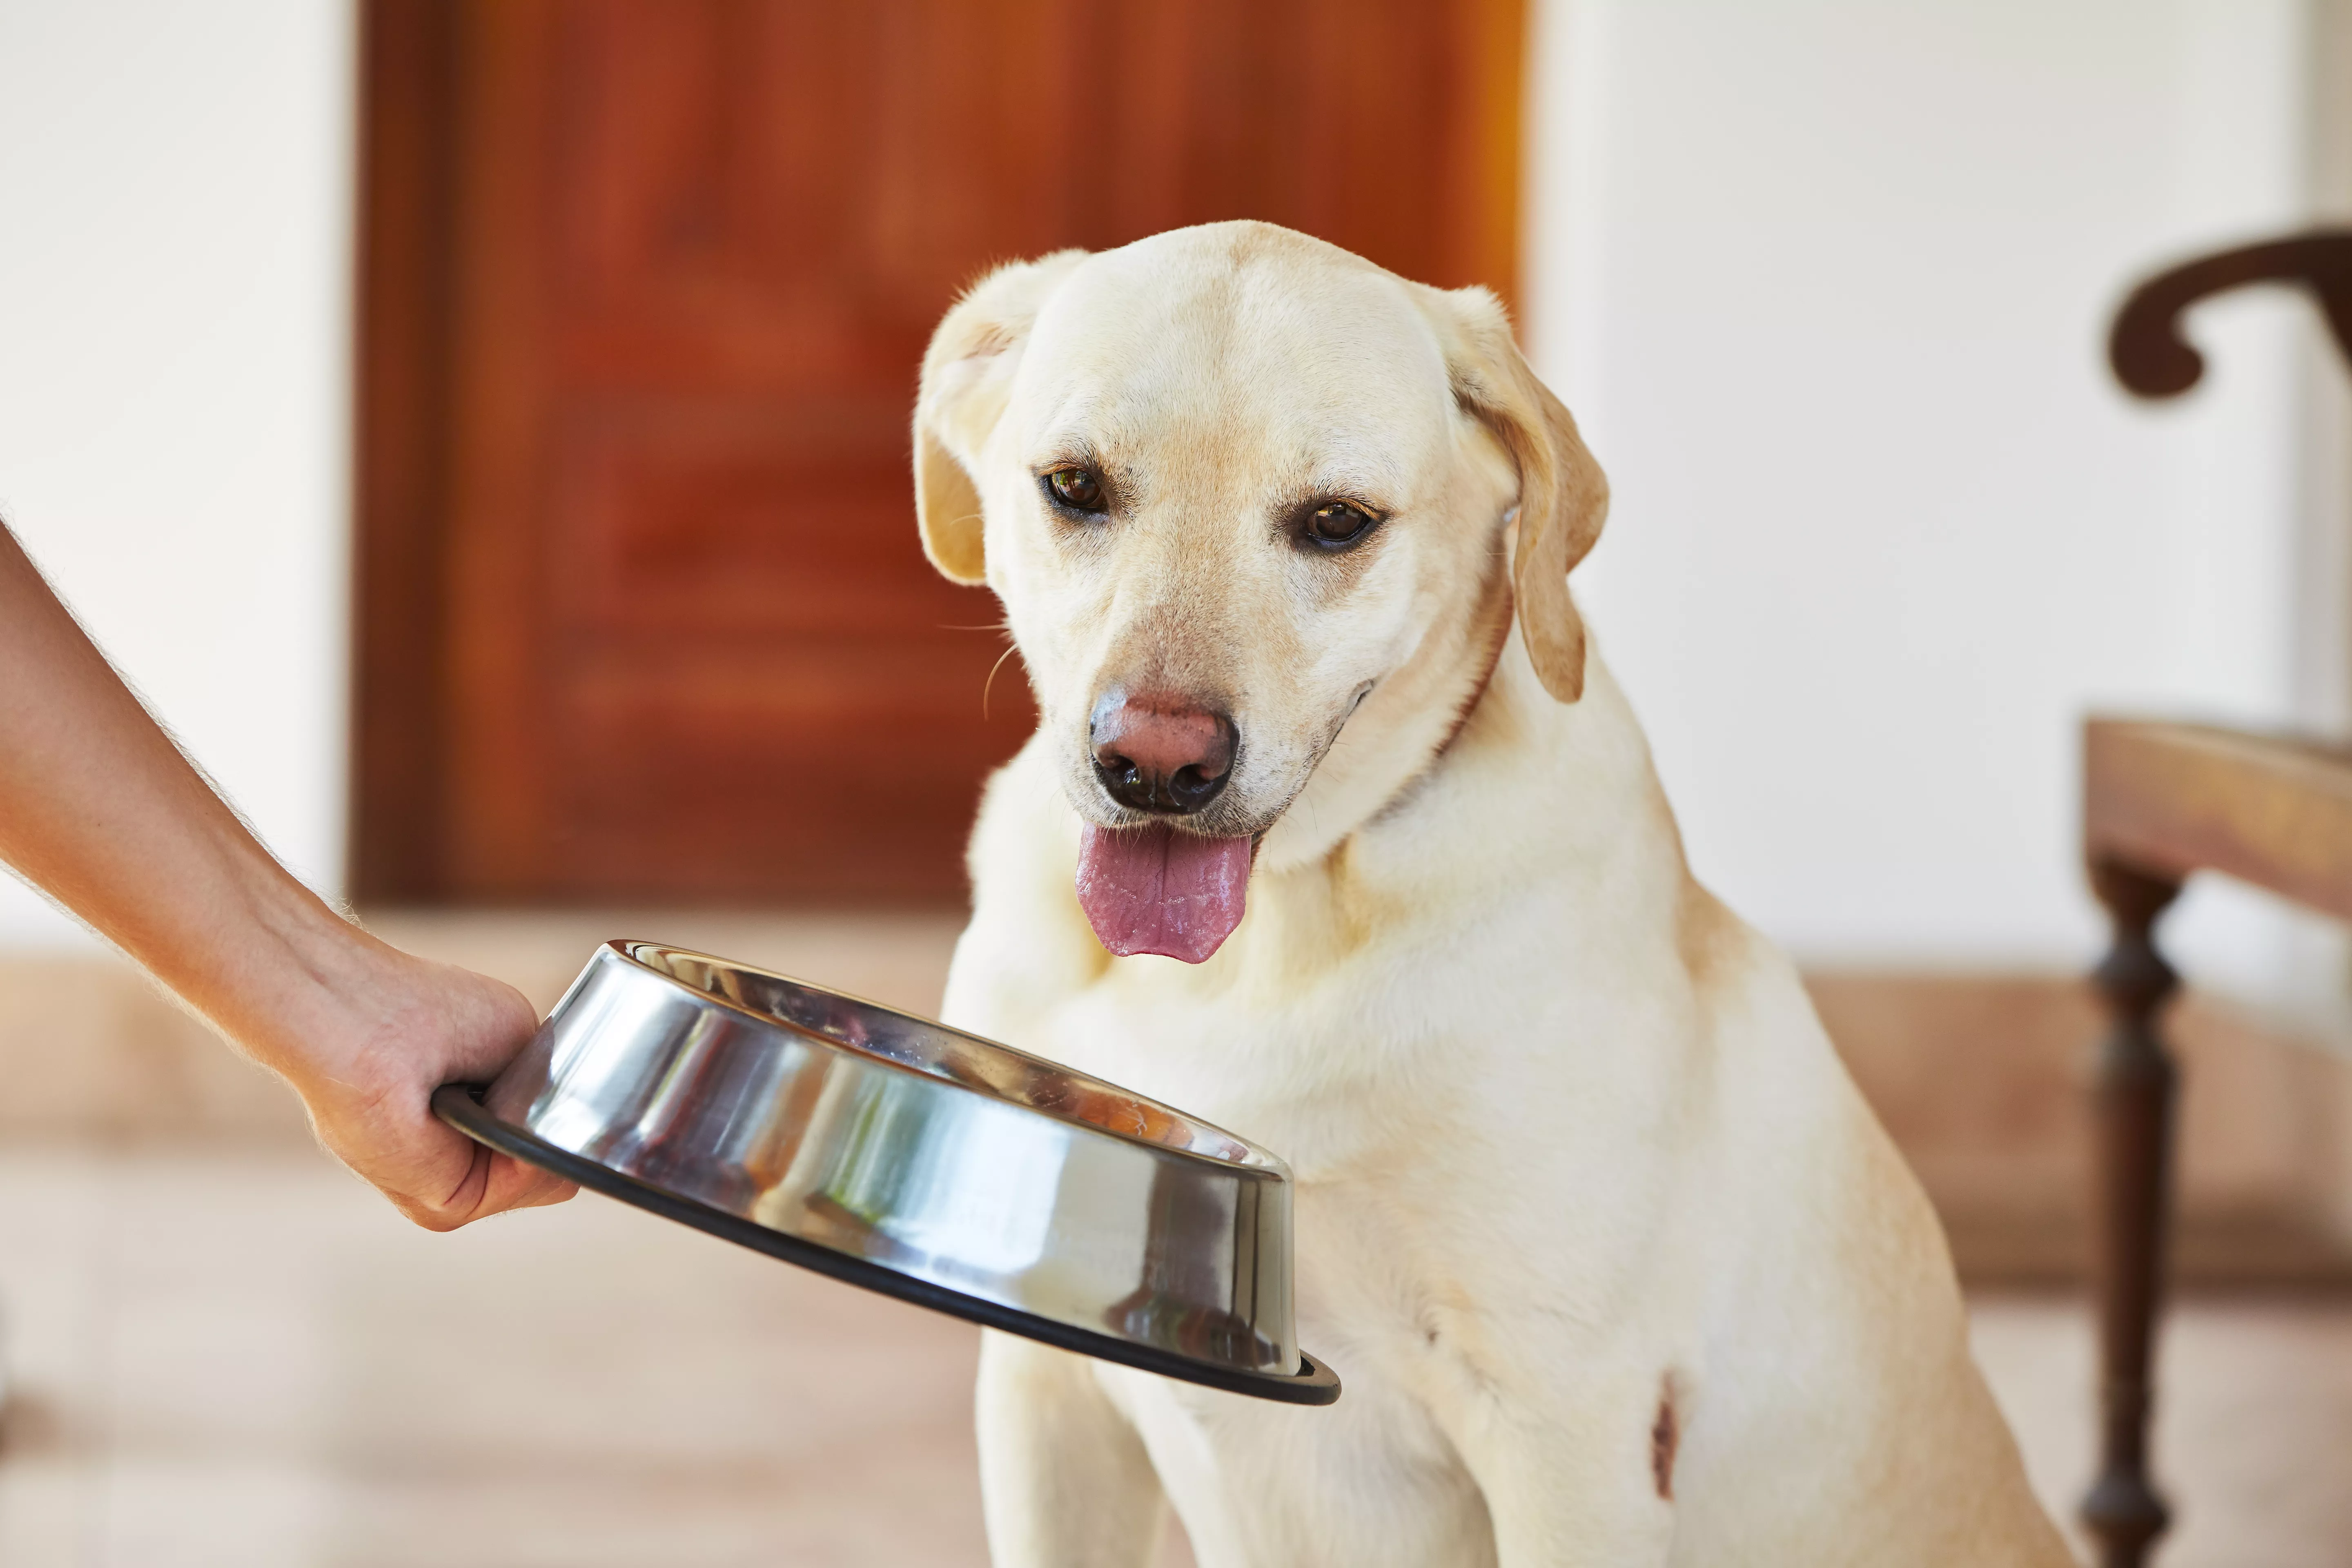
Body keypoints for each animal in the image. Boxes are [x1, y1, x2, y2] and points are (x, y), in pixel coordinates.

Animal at [908, 221, 2069, 1568]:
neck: (1270, 942)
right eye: (1076, 487)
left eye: (1336, 522)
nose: (1154, 764)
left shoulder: (1570, 1425)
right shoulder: (1042, 1377)